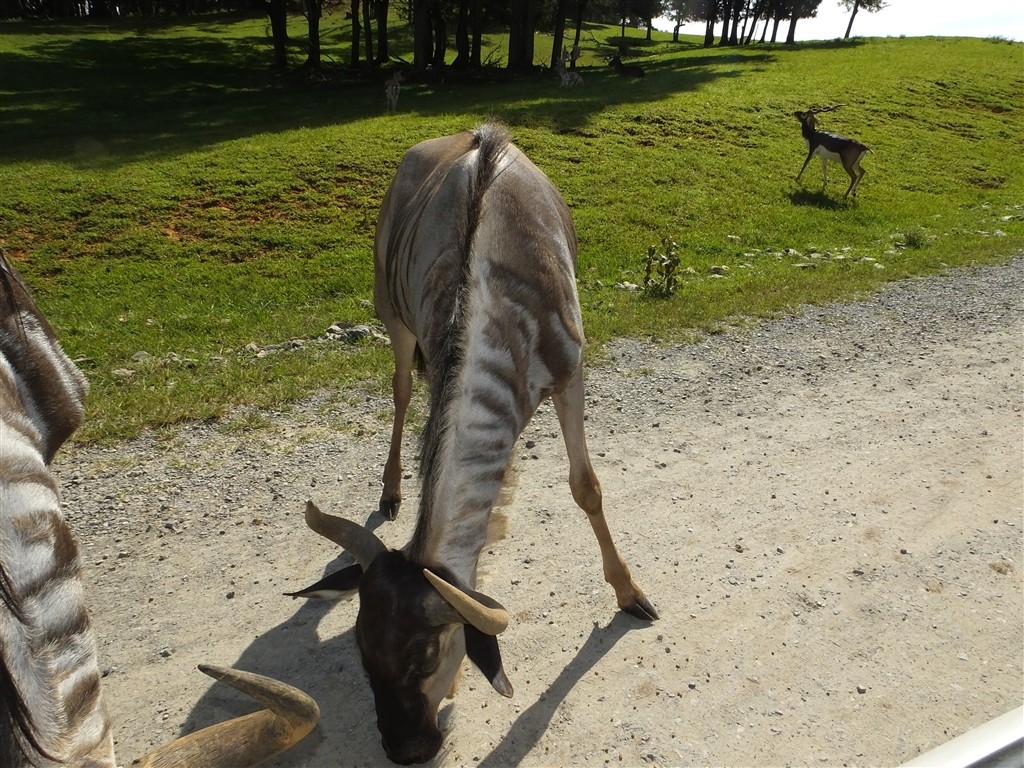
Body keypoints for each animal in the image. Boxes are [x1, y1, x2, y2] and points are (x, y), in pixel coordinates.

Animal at [288, 122, 657, 765]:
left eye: (426, 657)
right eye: (362, 651)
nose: (407, 748)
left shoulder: (571, 371)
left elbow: (585, 486)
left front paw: (630, 594)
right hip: (392, 315)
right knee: (399, 389)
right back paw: (390, 493)